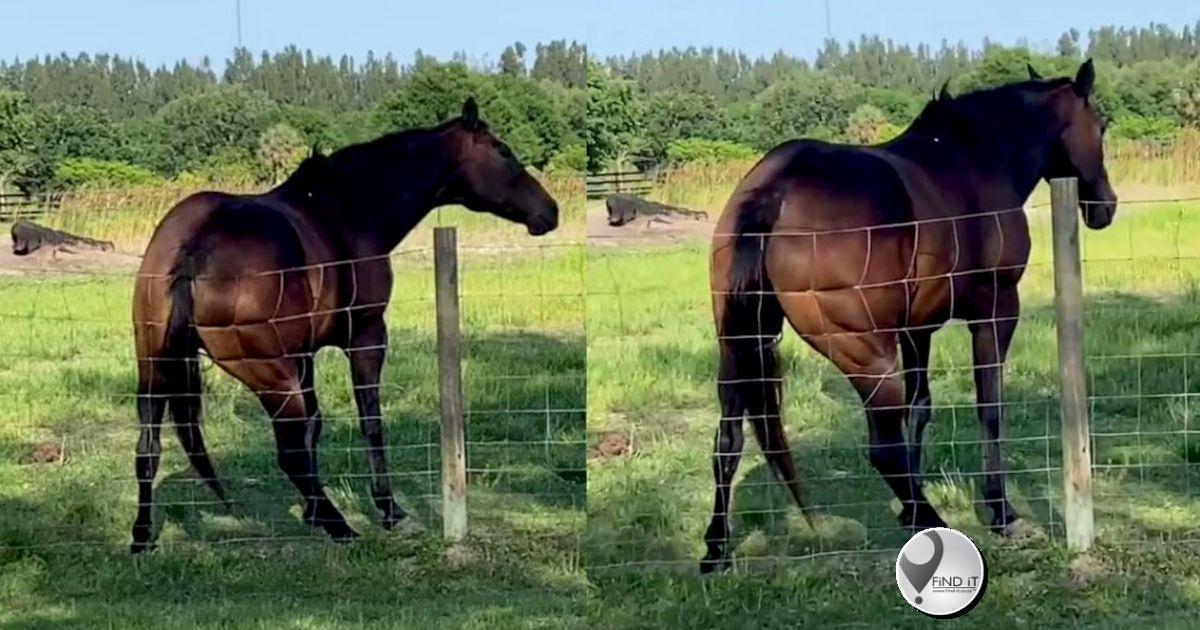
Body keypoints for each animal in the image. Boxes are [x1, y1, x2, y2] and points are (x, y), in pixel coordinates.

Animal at [131, 98, 559, 552]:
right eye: (503, 151)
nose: (550, 211)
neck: (344, 210)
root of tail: (195, 246)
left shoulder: (305, 354)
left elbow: (315, 425)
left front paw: (311, 511)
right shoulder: (366, 337)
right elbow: (369, 422)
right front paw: (389, 510)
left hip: (156, 369)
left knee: (148, 448)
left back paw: (142, 537)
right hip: (271, 378)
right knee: (288, 453)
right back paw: (339, 525)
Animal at [703, 60, 1117, 572]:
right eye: (1100, 125)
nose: (1105, 206)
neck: (976, 157)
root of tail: (775, 190)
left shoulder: (918, 328)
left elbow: (920, 409)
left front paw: (907, 508)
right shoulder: (996, 310)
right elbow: (989, 407)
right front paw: (1001, 511)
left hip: (739, 348)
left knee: (727, 441)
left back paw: (716, 548)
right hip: (865, 356)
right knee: (882, 448)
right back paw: (931, 519)